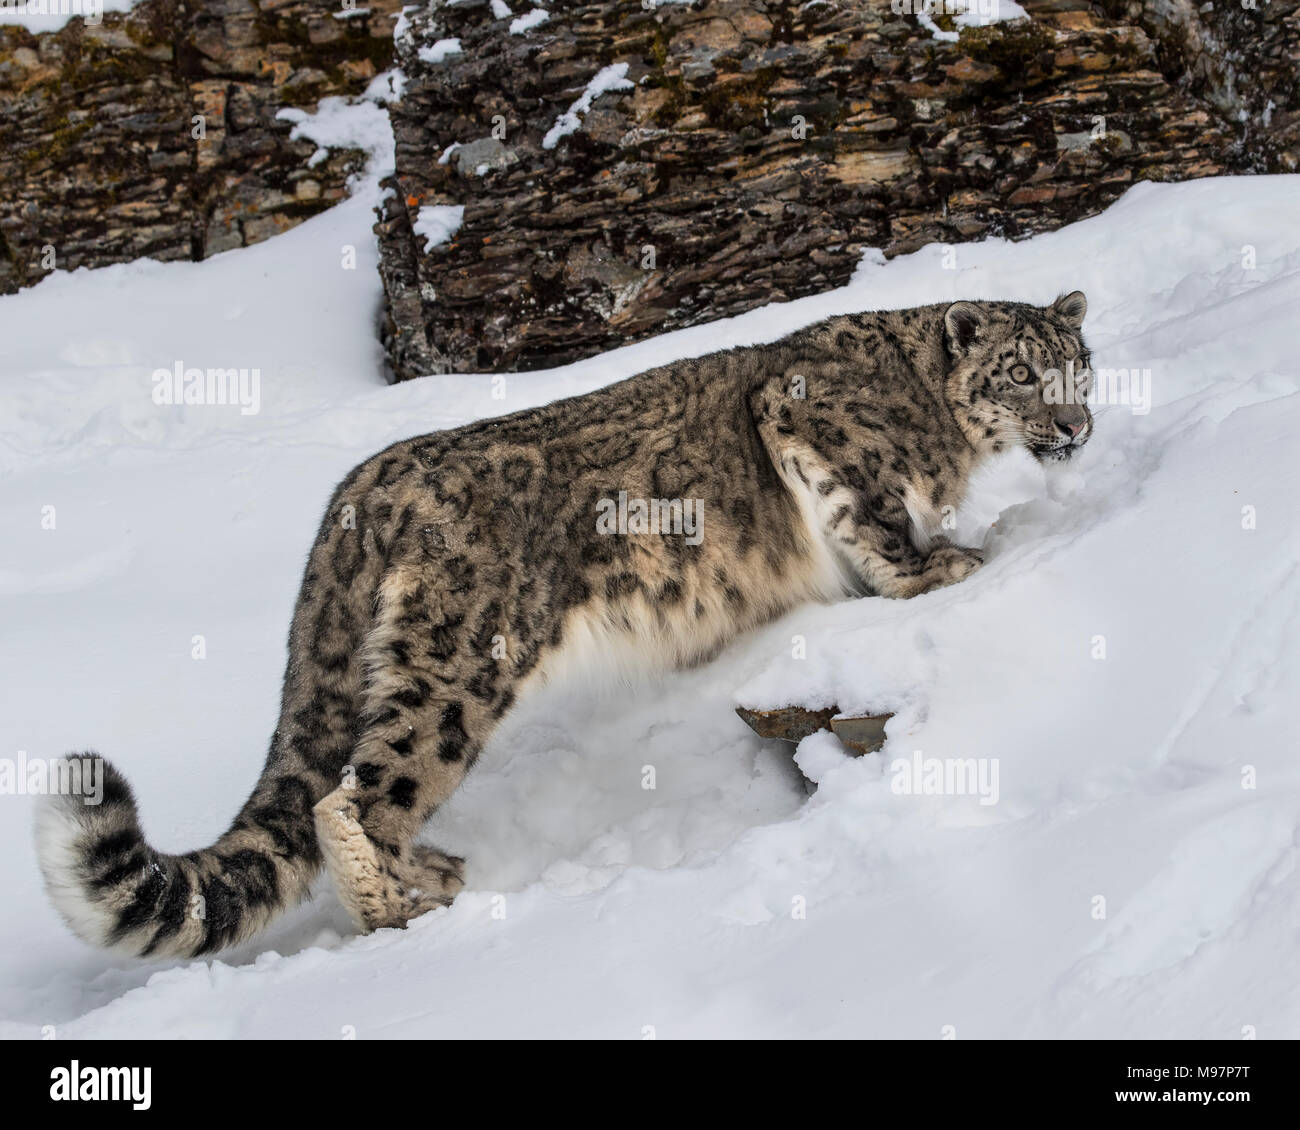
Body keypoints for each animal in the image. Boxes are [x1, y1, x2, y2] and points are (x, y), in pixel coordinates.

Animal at [36, 291, 1092, 958]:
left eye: (1080, 367)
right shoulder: (812, 424)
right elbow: (872, 521)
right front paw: (940, 566)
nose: (1078, 427)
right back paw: (407, 904)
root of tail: (358, 492)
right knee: (358, 799)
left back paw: (430, 876)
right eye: (1018, 373)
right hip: (459, 665)